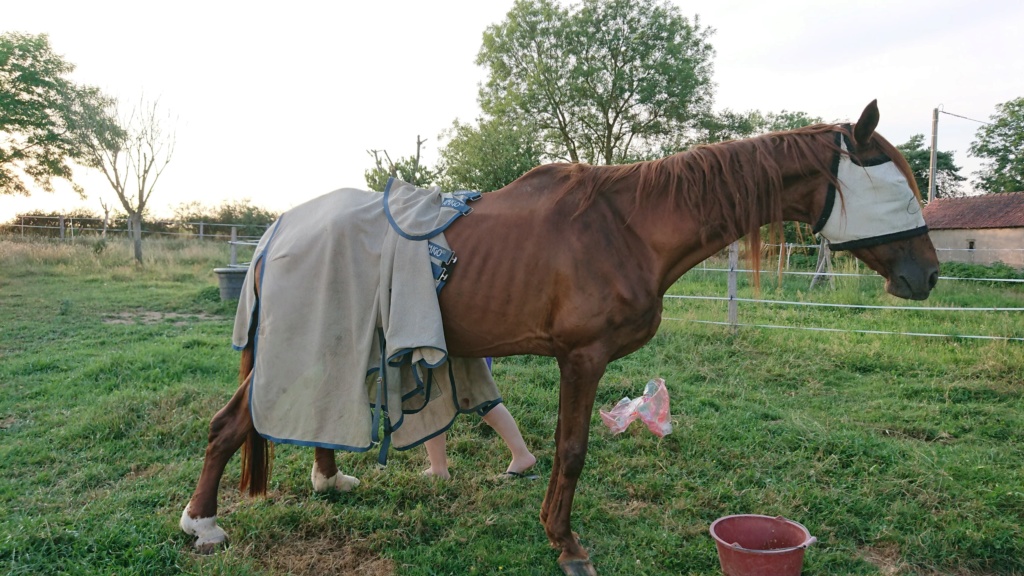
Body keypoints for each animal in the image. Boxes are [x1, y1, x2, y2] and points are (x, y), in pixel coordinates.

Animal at [182, 100, 937, 569]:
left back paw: (329, 480)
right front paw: (566, 543)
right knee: (229, 425)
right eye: (898, 187)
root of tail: (277, 231)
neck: (628, 226)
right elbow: (572, 452)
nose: (927, 275)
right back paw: (202, 523)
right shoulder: (583, 358)